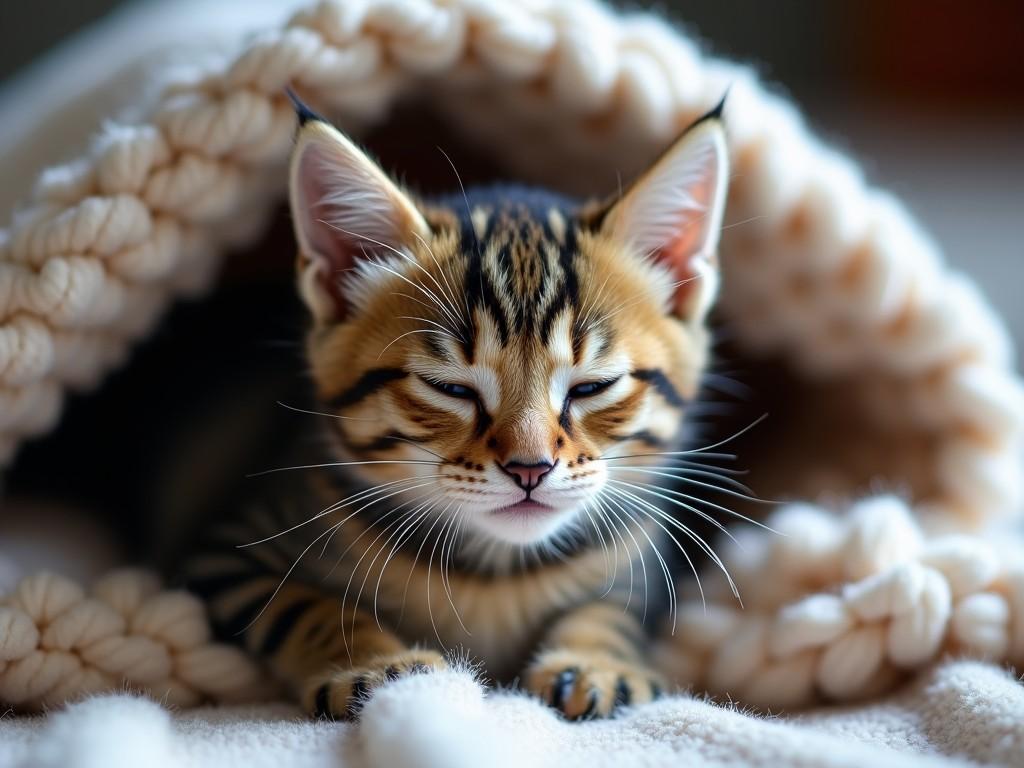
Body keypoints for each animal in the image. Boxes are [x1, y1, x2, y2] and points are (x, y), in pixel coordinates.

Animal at [182, 97, 729, 720]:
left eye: (593, 387)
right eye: (451, 389)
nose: (530, 469)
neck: (494, 571)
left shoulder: (645, 565)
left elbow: (617, 609)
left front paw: (597, 660)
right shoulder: (226, 552)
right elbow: (301, 606)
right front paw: (375, 663)